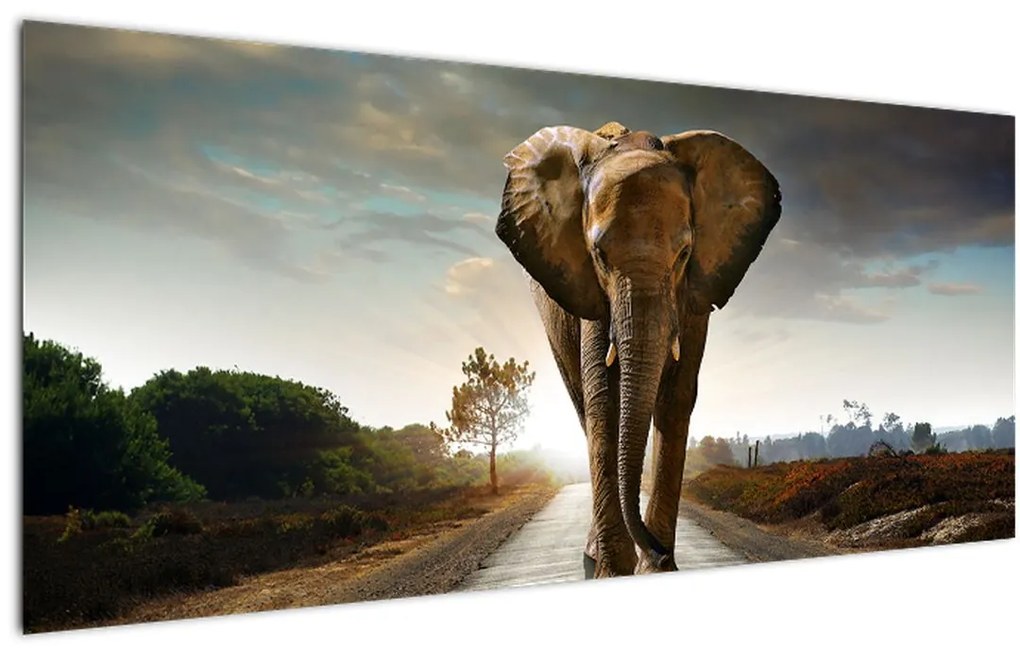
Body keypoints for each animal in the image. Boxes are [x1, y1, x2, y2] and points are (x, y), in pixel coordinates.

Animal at [494, 121, 781, 578]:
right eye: (598, 254)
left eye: (684, 254)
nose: (660, 551)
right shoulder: (590, 292)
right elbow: (604, 401)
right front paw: (614, 570)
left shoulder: (696, 292)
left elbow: (677, 399)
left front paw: (658, 569)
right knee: (584, 406)